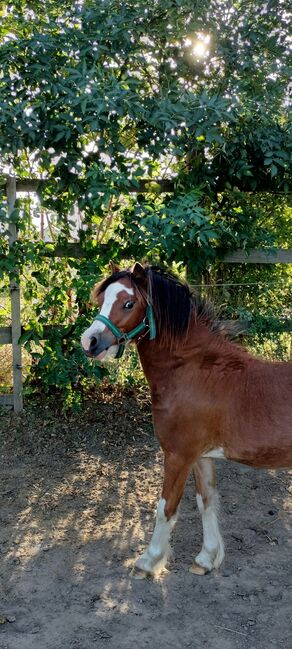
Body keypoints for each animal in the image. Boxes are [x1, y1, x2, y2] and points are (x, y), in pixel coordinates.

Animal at [80, 260, 292, 576]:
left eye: (129, 303)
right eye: (103, 299)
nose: (89, 341)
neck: (193, 370)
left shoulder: (178, 455)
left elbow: (166, 507)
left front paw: (148, 561)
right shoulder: (200, 456)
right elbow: (206, 501)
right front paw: (206, 558)